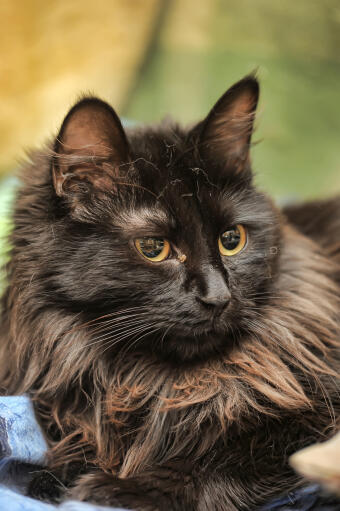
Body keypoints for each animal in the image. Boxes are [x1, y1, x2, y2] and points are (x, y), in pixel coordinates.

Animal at [0, 73, 340, 511]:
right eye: (153, 248)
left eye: (232, 240)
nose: (218, 297)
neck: (147, 381)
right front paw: (54, 478)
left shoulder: (312, 416)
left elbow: (218, 462)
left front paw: (120, 489)